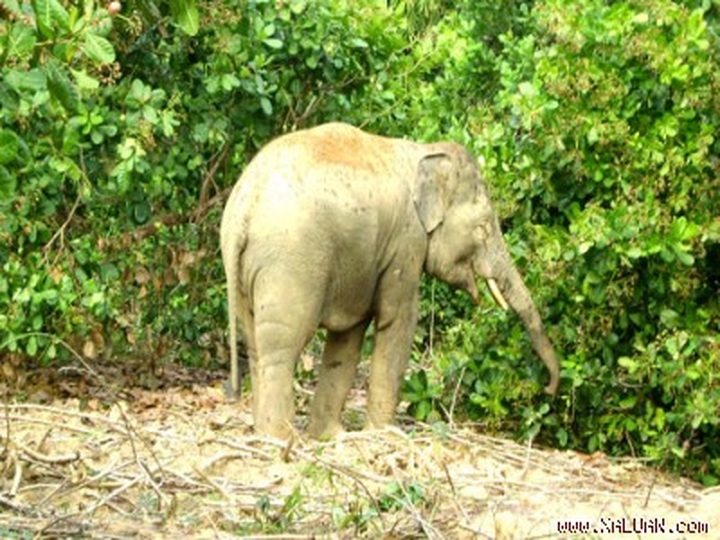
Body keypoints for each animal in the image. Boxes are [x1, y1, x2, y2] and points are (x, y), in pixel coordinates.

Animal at [220, 122, 560, 439]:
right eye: (483, 228)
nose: (549, 389)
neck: (423, 152)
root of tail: (244, 207)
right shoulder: (406, 243)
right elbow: (398, 321)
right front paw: (385, 433)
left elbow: (349, 338)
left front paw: (332, 436)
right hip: (290, 263)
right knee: (282, 348)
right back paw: (281, 438)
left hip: (248, 272)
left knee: (256, 345)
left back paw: (266, 434)